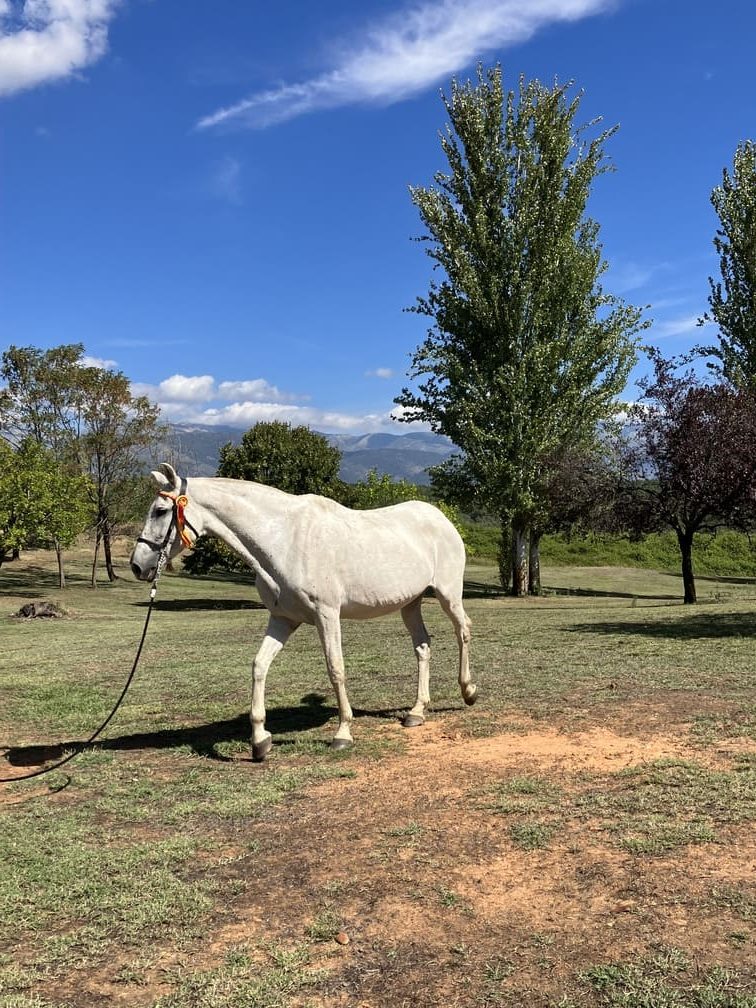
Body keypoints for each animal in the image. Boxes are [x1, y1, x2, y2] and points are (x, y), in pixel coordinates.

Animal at [128, 461, 475, 758]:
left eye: (160, 511)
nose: (138, 566)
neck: (284, 540)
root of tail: (441, 518)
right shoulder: (283, 619)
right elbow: (259, 666)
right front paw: (260, 740)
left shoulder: (327, 615)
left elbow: (336, 669)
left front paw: (343, 733)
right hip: (410, 604)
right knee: (423, 647)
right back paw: (416, 712)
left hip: (448, 595)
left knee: (463, 632)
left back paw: (468, 691)